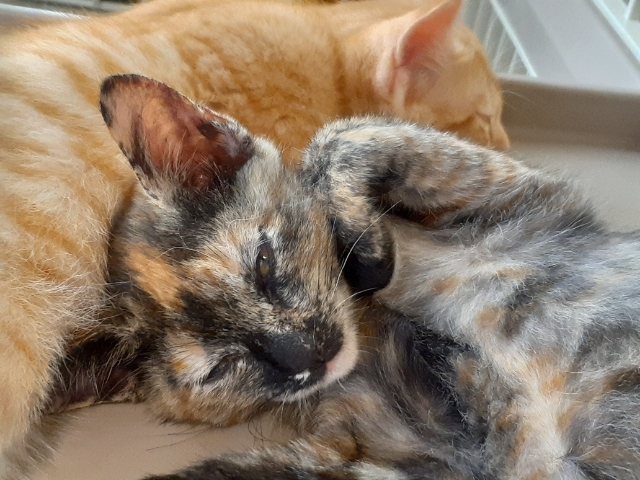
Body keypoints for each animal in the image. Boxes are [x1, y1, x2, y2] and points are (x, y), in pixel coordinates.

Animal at [95, 80, 640, 480]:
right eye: (219, 370)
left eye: (264, 264)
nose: (307, 355)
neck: (375, 320)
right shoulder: (430, 458)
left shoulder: (525, 199)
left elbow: (341, 136)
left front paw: (367, 250)